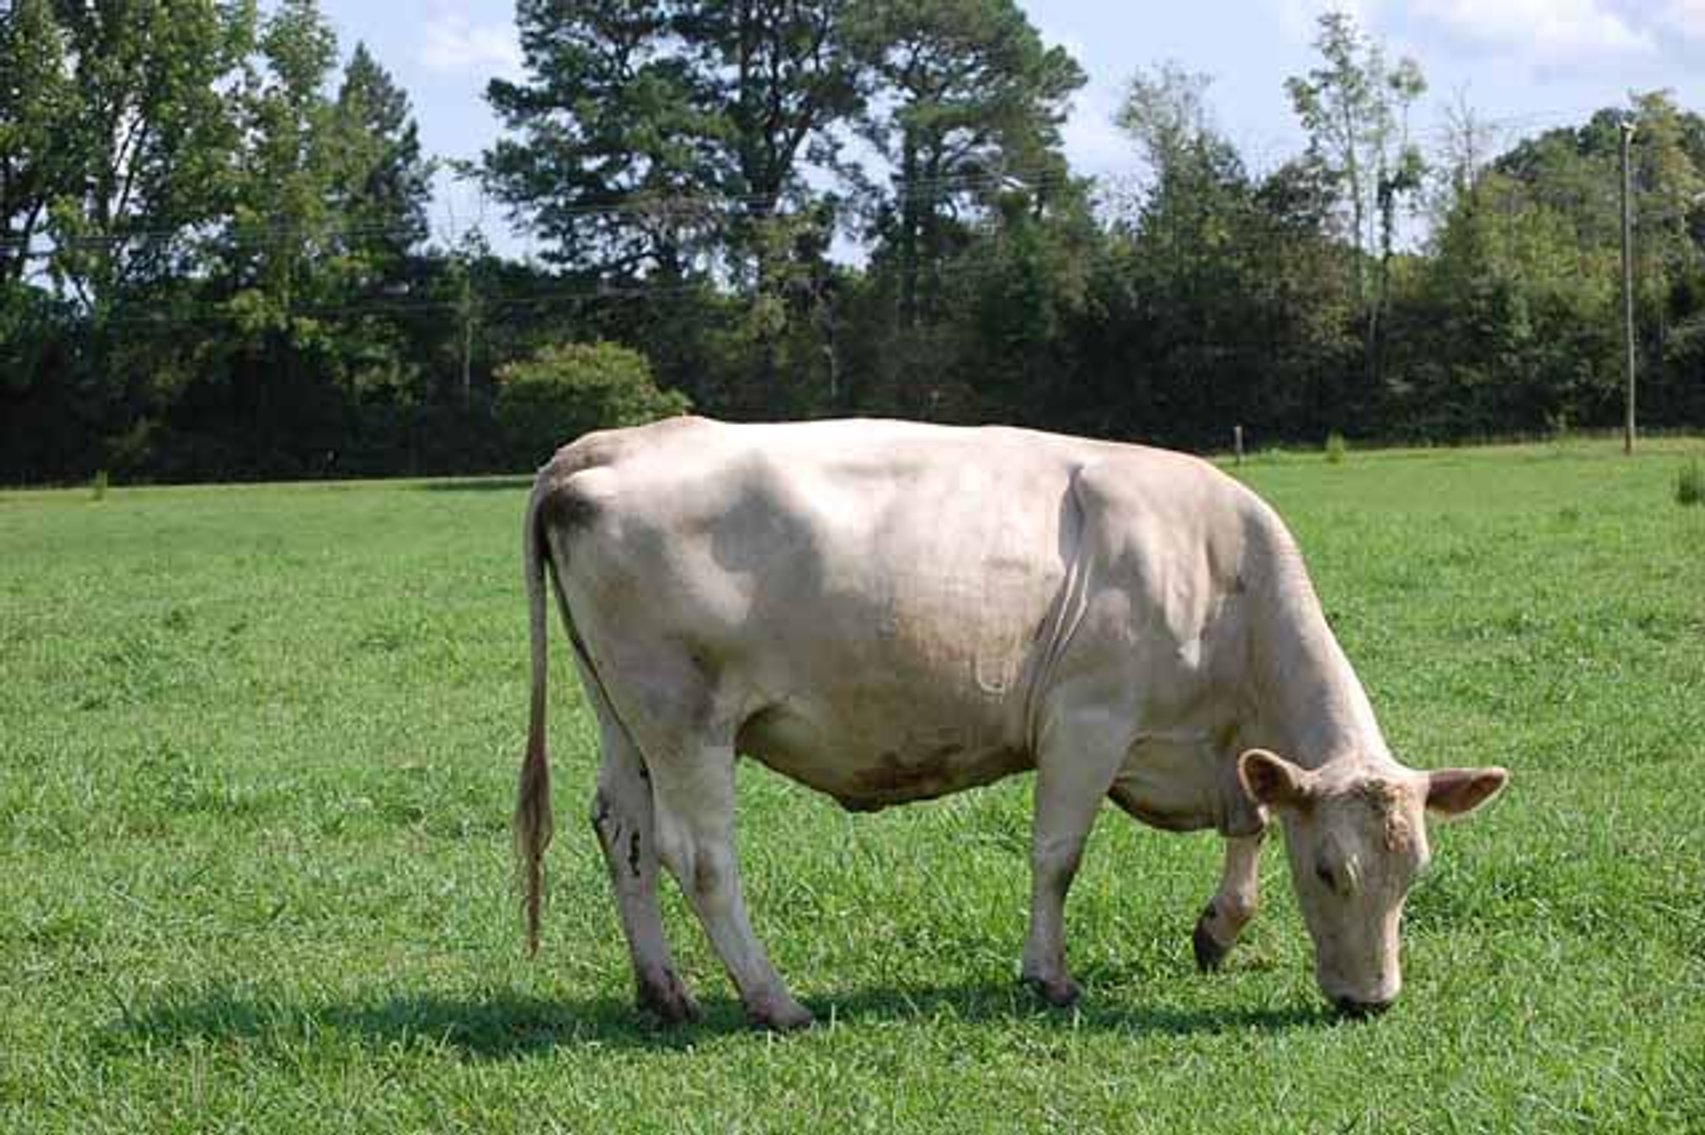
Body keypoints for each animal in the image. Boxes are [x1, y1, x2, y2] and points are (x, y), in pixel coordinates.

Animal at [515, 417, 1507, 1029]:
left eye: (1414, 873)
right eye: (1331, 870)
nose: (1370, 1000)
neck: (1222, 578)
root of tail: (607, 445)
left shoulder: (1219, 752)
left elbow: (1251, 819)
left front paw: (1217, 928)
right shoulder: (1087, 719)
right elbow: (1058, 856)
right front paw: (1048, 974)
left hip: (624, 717)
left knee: (622, 830)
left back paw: (664, 991)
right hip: (688, 720)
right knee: (699, 855)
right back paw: (773, 1000)